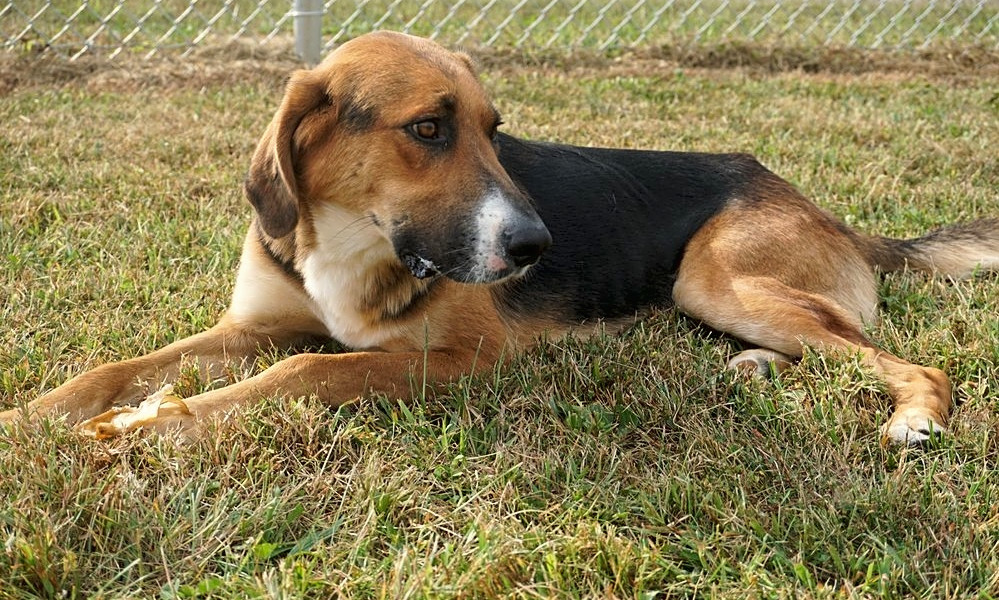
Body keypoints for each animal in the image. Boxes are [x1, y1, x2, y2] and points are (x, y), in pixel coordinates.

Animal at [1, 31, 999, 446]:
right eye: (428, 128)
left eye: (493, 129)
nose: (535, 248)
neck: (357, 238)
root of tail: (827, 211)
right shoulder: (249, 327)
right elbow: (114, 370)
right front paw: (35, 418)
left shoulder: (454, 361)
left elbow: (306, 370)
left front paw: (154, 425)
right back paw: (754, 367)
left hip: (715, 279)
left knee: (902, 360)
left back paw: (913, 418)